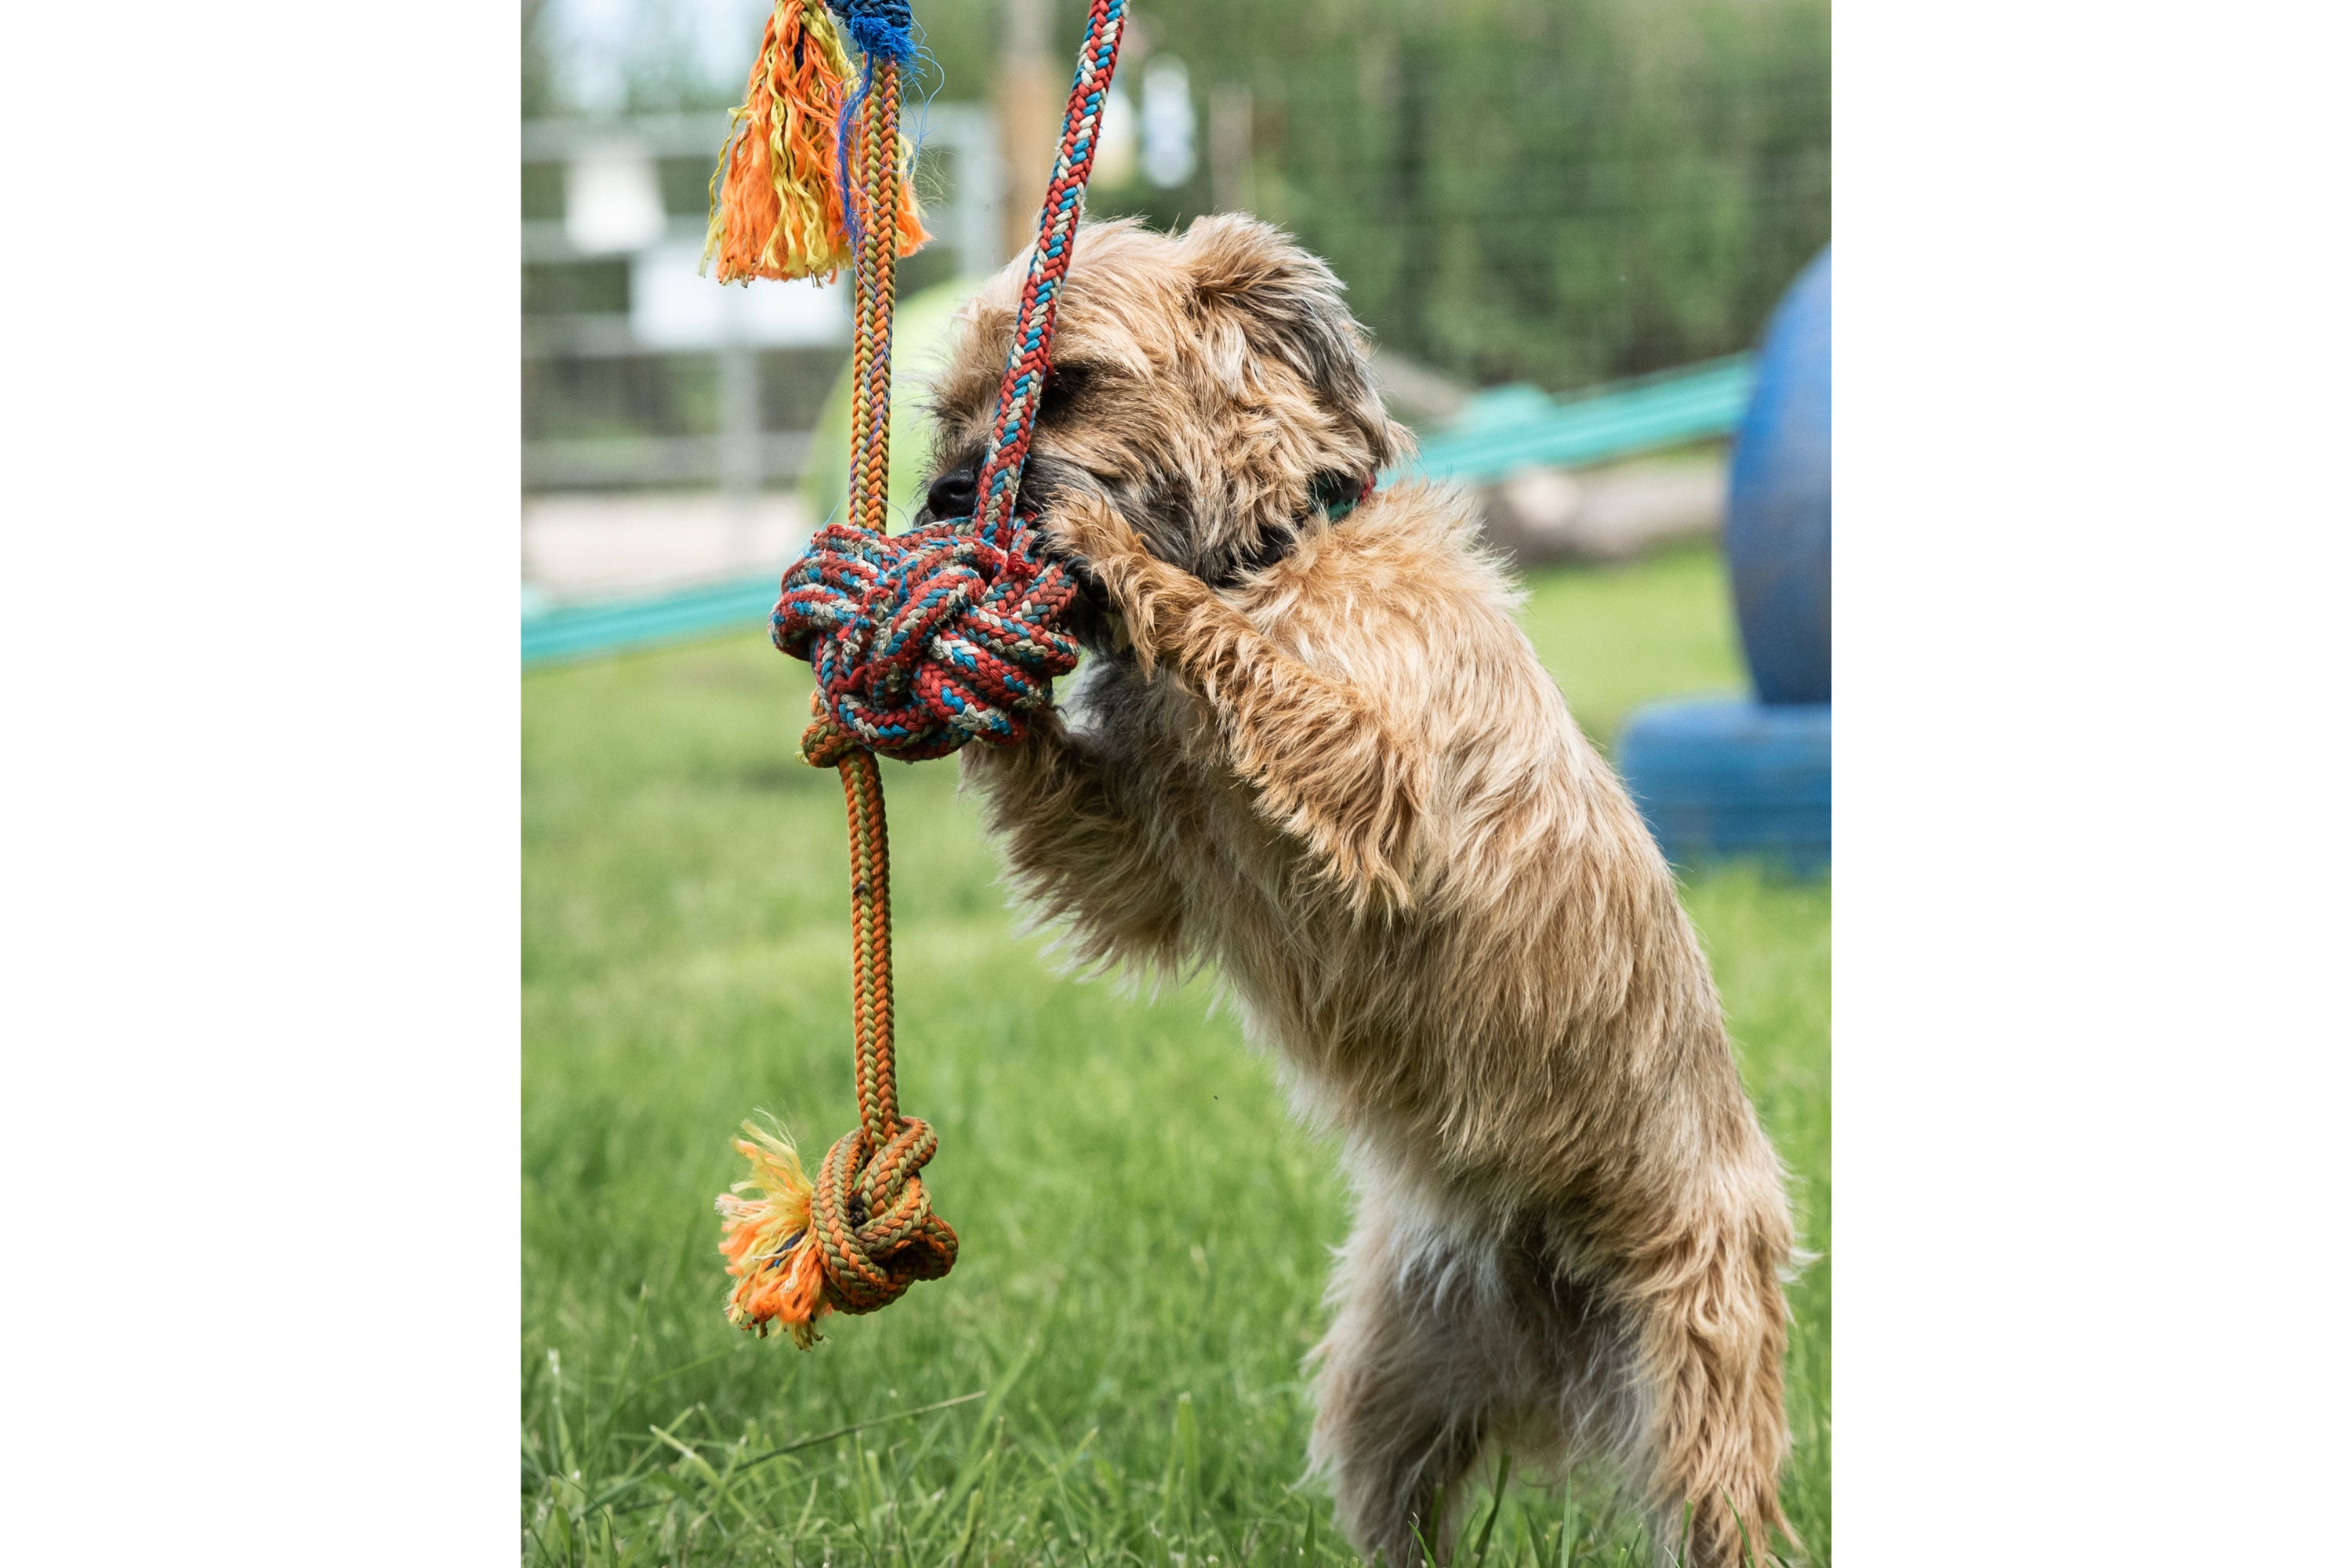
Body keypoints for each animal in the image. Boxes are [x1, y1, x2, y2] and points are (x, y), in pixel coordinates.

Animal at [922, 217, 1797, 1568]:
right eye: (949, 418)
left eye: (1063, 384)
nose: (946, 500)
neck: (1272, 557)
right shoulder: (1140, 866)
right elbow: (1094, 837)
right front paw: (985, 676)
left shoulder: (1373, 770)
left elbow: (1237, 660)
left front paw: (1107, 553)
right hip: (1390, 1373)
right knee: (1399, 1501)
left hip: (1699, 1371)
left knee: (1717, 1509)